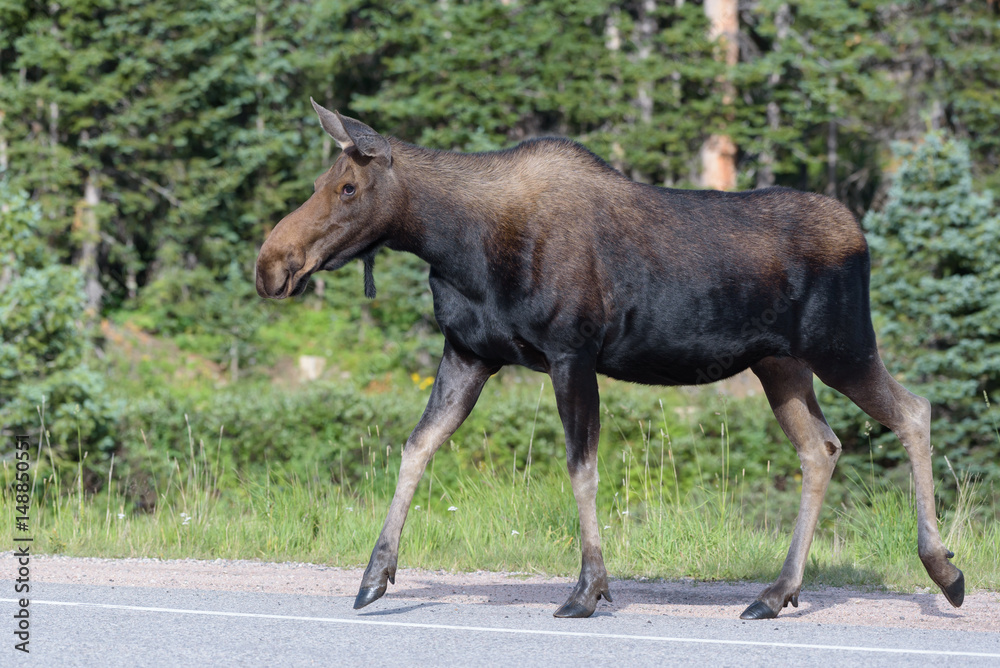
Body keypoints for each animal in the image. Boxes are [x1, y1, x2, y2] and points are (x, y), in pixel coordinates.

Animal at [254, 100, 964, 620]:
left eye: (348, 187)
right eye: (322, 183)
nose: (271, 265)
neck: (453, 245)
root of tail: (861, 234)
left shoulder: (572, 351)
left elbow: (581, 467)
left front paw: (588, 588)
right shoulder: (469, 353)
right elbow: (415, 447)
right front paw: (374, 575)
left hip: (841, 344)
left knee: (914, 410)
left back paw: (943, 569)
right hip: (780, 365)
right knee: (822, 446)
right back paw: (775, 592)